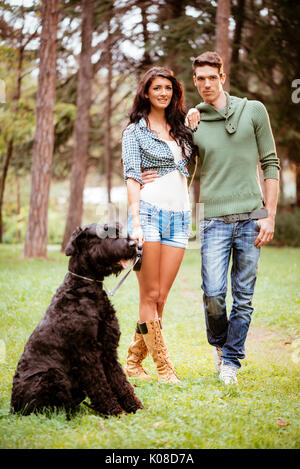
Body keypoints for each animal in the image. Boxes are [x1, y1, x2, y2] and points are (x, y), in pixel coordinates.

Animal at [9, 223, 144, 416]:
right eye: (105, 233)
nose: (135, 245)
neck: (83, 288)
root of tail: (13, 407)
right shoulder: (87, 354)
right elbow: (100, 384)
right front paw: (114, 411)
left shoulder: (108, 351)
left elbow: (120, 381)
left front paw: (134, 406)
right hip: (52, 375)